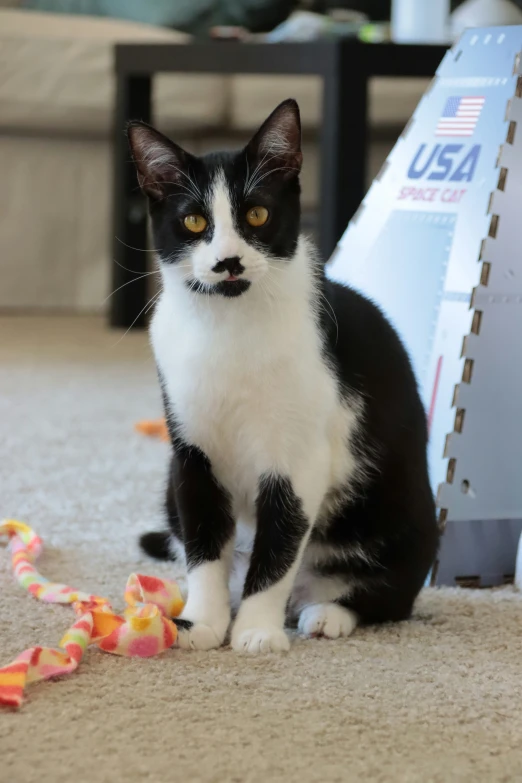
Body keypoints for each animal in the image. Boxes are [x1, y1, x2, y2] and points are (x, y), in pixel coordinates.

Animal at [128, 99, 436, 656]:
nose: (228, 261)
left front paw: (256, 630)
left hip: (404, 519)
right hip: (168, 486)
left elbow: (278, 548)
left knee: (387, 595)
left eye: (257, 213)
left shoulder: (300, 459)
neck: (229, 328)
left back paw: (327, 612)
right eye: (193, 220)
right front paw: (204, 621)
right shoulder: (192, 454)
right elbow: (204, 542)